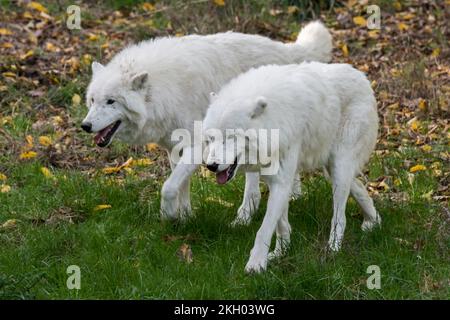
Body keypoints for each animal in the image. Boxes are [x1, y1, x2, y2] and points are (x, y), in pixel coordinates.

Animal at [82, 22, 332, 224]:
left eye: (111, 101)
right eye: (93, 100)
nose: (85, 126)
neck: (163, 90)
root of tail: (285, 50)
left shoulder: (198, 146)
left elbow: (168, 187)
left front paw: (168, 215)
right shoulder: (174, 148)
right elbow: (181, 185)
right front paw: (184, 216)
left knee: (254, 187)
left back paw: (244, 217)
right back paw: (294, 196)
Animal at [206, 62, 382, 272]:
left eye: (230, 137)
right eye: (211, 138)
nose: (210, 166)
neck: (272, 121)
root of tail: (362, 77)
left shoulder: (282, 180)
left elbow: (265, 228)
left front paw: (256, 265)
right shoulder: (276, 178)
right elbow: (281, 224)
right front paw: (280, 253)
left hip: (339, 166)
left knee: (340, 216)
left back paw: (333, 248)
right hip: (331, 169)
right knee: (358, 187)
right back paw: (373, 221)